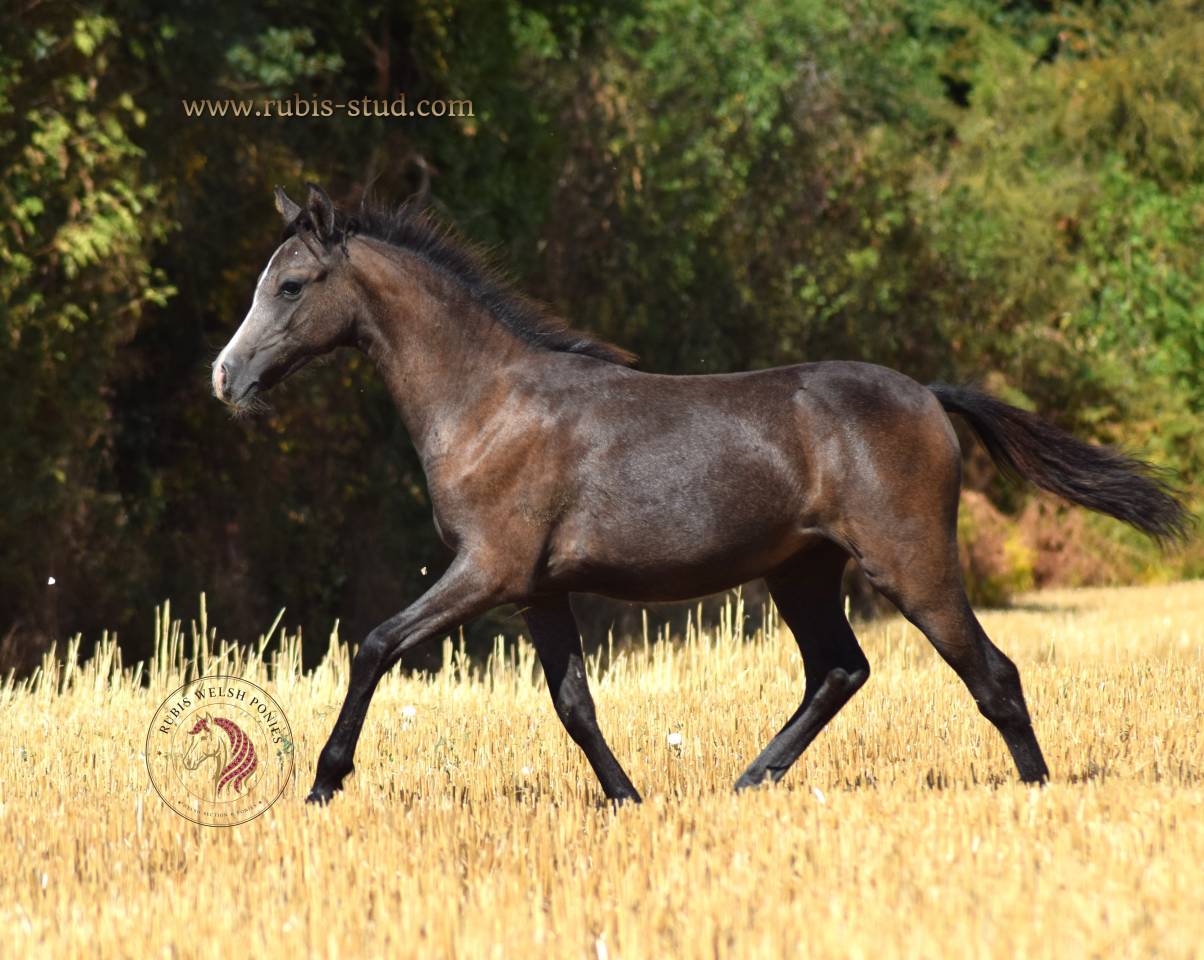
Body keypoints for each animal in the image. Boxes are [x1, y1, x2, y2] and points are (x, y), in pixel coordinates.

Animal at [212, 183, 1189, 805]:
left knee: (992, 674)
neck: (487, 402)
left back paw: (1036, 793)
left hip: (911, 564)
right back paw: (749, 781)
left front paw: (324, 782)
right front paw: (628, 797)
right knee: (840, 669)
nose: (225, 378)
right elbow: (574, 704)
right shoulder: (537, 591)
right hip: (802, 572)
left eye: (291, 284)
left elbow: (374, 644)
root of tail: (927, 395)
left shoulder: (487, 572)